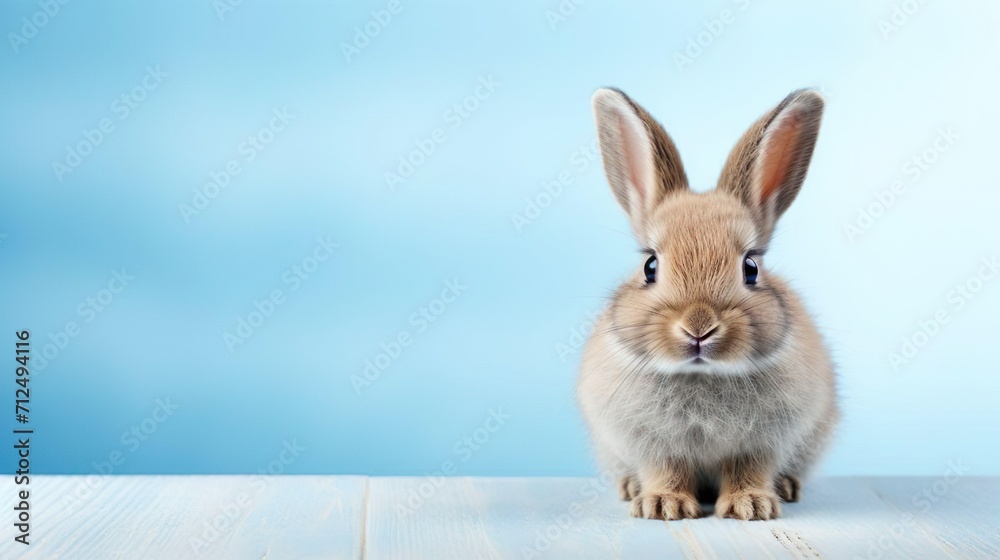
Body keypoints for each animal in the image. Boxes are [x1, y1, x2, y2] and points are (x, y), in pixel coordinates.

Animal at [577, 88, 839, 521]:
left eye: (751, 267)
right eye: (650, 266)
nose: (698, 327)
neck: (703, 375)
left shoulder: (761, 443)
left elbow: (749, 469)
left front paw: (751, 506)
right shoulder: (653, 443)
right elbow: (665, 468)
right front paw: (662, 506)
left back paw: (787, 487)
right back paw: (630, 488)